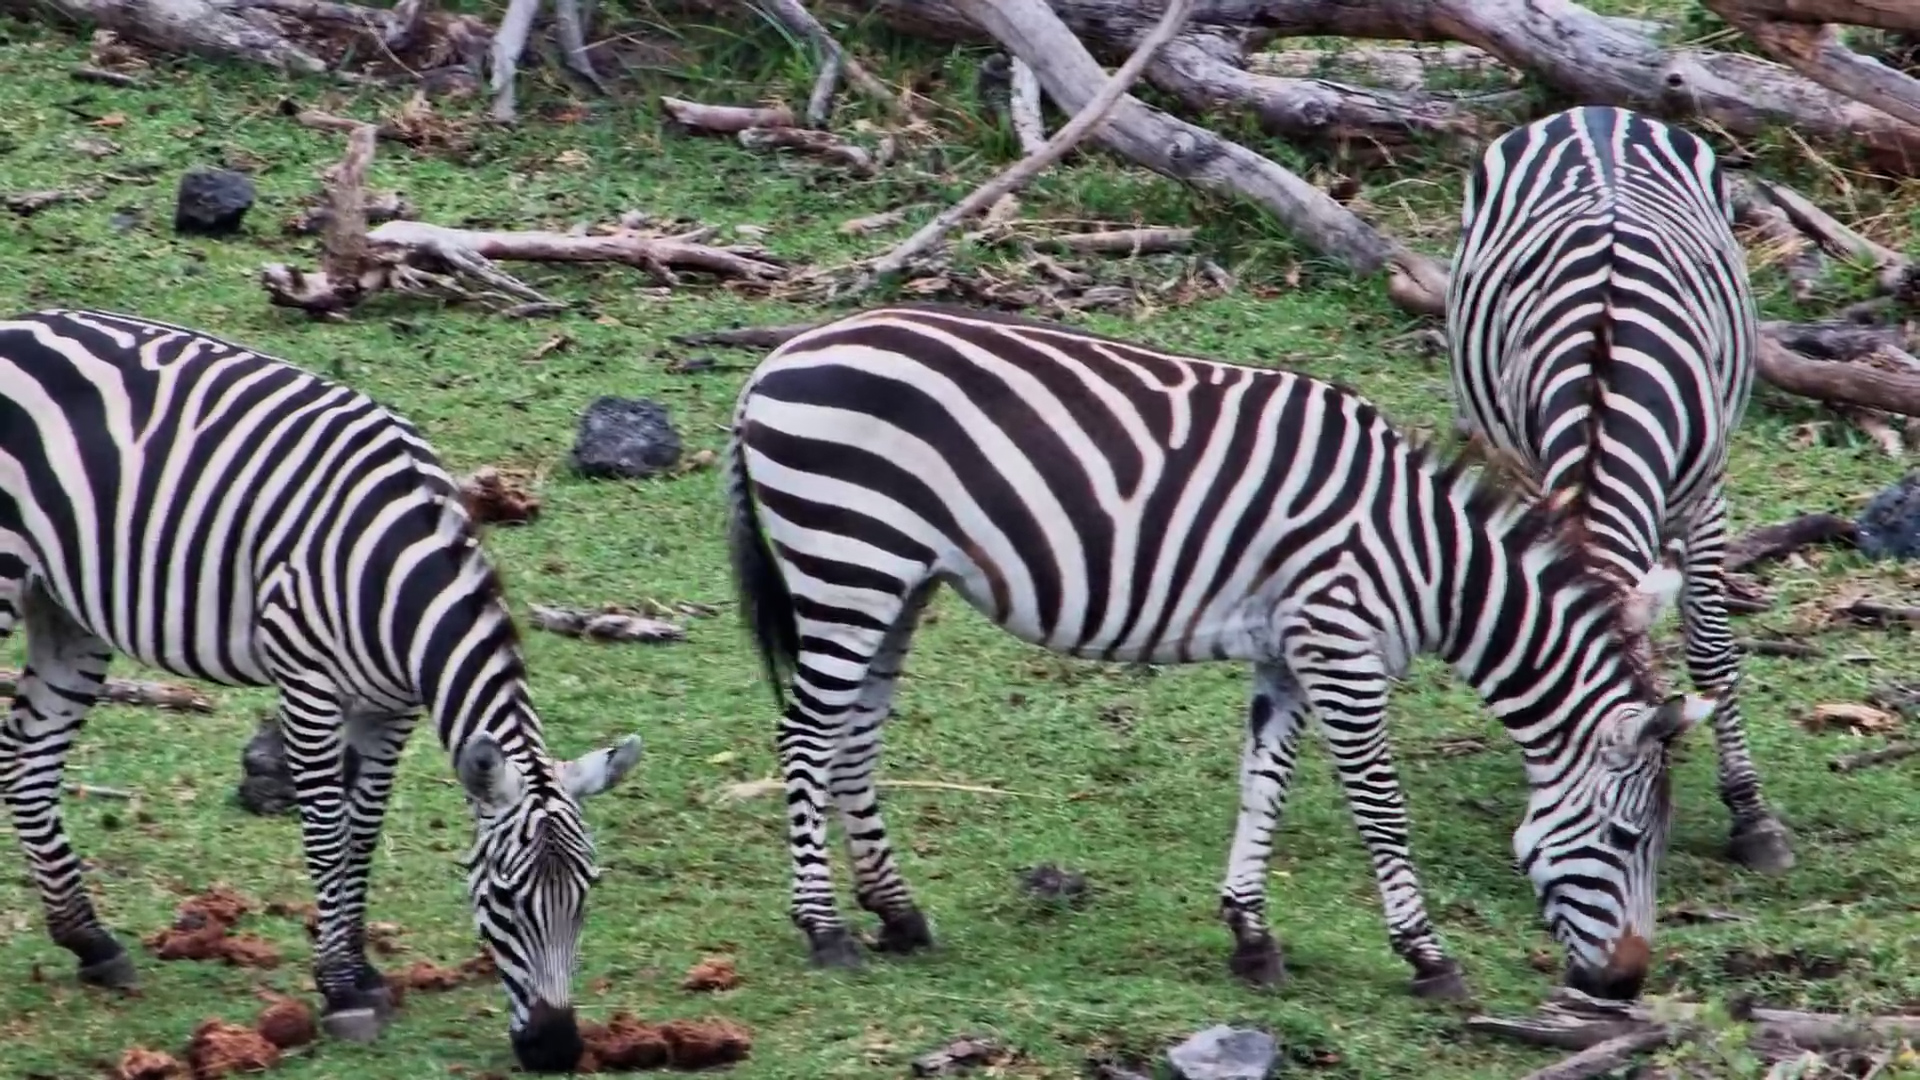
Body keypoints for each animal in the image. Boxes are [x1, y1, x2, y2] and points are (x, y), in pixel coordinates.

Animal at [0, 309, 643, 1073]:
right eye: (507, 899)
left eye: (587, 895)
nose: (556, 1050)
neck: (397, 580)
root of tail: (21, 321)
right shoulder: (307, 685)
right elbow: (328, 832)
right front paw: (340, 991)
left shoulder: (391, 706)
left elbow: (362, 831)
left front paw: (360, 970)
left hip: (66, 609)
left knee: (28, 759)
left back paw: (91, 942)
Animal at [725, 302, 1720, 1002]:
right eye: (1628, 838)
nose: (1626, 984)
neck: (1427, 557)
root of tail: (775, 361)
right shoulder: (1341, 644)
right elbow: (1380, 810)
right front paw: (1427, 956)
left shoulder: (1288, 653)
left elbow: (1261, 787)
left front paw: (1251, 937)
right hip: (852, 557)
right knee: (804, 737)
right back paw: (825, 931)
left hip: (897, 579)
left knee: (853, 739)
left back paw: (897, 915)